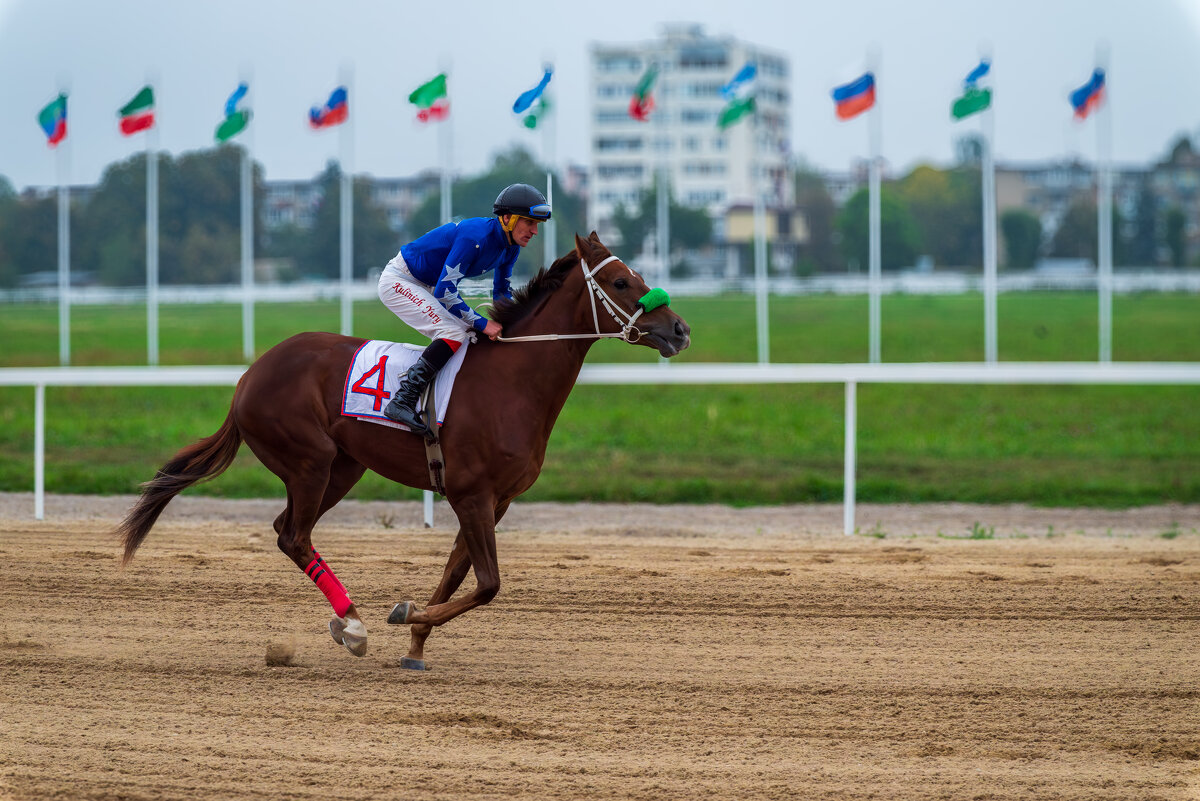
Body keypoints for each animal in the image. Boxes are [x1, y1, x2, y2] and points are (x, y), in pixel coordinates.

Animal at [114, 232, 696, 671]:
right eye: (621, 282)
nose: (680, 329)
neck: (512, 382)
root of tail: (248, 377)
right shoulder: (471, 493)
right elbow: (488, 584)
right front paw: (405, 615)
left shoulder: (494, 500)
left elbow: (458, 574)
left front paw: (416, 644)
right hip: (310, 461)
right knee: (295, 536)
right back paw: (354, 624)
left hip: (342, 468)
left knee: (287, 531)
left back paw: (345, 621)